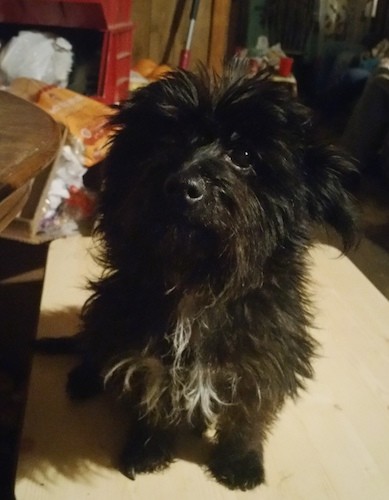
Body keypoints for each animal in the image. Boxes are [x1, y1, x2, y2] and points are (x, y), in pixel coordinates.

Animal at [38, 65, 356, 488]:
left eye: (244, 155)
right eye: (165, 140)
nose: (182, 185)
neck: (195, 282)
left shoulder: (264, 362)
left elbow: (247, 417)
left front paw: (240, 461)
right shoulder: (148, 359)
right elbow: (156, 402)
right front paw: (148, 449)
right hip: (105, 310)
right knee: (93, 345)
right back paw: (85, 378)